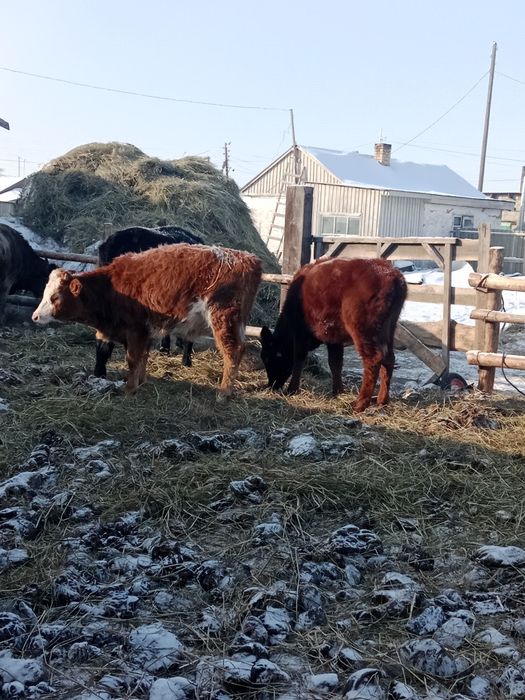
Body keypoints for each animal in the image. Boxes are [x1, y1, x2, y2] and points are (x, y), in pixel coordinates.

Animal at [33, 244, 262, 398]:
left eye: (55, 297)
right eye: (45, 293)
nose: (35, 316)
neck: (111, 287)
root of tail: (247, 258)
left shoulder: (136, 330)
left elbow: (133, 359)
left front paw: (129, 389)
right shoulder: (145, 332)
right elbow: (142, 357)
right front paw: (141, 382)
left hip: (223, 319)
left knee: (232, 352)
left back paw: (223, 393)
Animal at [260, 257, 407, 412]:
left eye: (268, 358)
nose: (271, 386)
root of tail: (392, 274)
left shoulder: (300, 333)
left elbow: (299, 359)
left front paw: (292, 389)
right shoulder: (333, 338)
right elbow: (335, 362)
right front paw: (338, 391)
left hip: (363, 329)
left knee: (373, 360)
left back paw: (360, 403)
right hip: (388, 328)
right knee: (389, 358)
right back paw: (382, 400)